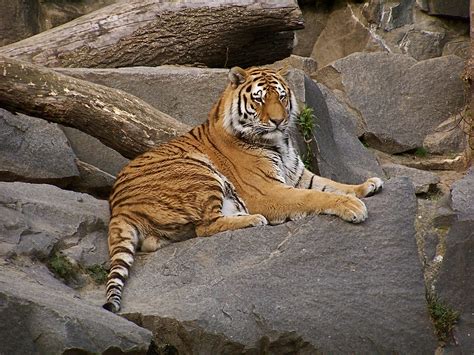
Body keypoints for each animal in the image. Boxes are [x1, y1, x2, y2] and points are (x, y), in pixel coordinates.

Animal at [102, 65, 384, 312]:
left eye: (282, 97)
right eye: (259, 99)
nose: (278, 121)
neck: (279, 143)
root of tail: (118, 209)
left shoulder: (299, 176)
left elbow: (331, 185)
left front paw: (368, 185)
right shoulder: (269, 192)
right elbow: (314, 197)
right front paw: (353, 207)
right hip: (200, 173)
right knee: (206, 227)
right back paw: (252, 219)